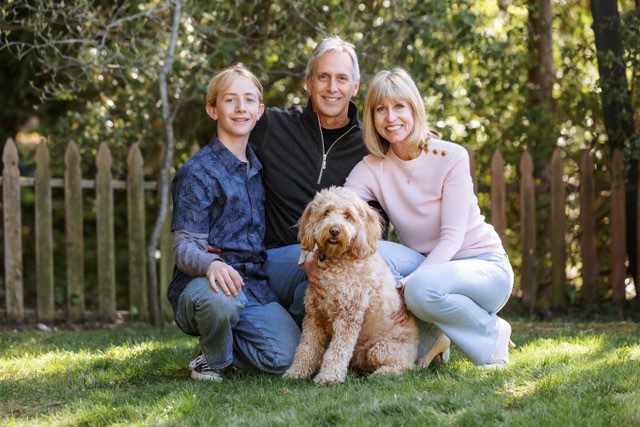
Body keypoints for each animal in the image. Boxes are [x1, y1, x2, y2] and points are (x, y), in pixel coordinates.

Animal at [284, 186, 436, 384]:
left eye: (347, 215)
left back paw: (381, 373)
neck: (338, 261)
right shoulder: (314, 316)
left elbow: (338, 350)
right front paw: (296, 372)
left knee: (403, 368)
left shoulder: (348, 316)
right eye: (326, 213)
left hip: (380, 348)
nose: (334, 230)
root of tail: (414, 353)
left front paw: (329, 377)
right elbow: (306, 348)